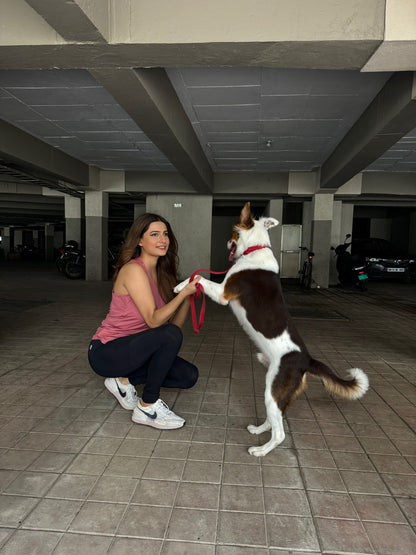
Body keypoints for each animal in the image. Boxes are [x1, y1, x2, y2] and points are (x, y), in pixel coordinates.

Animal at [174, 203, 368, 456]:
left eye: (233, 233)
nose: (226, 243)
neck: (256, 249)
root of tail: (306, 360)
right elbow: (197, 277)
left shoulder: (223, 294)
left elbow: (197, 277)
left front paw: (179, 286)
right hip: (277, 394)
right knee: (275, 419)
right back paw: (258, 429)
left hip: (273, 389)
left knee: (280, 433)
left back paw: (260, 450)